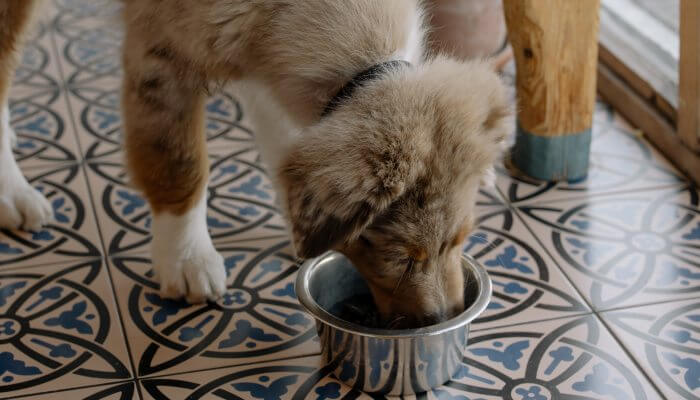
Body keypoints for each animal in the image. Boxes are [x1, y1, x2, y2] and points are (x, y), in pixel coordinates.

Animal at [1, 0, 516, 328]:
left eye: (462, 240)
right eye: (403, 258)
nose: (445, 318)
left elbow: (284, 140)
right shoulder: (163, 50)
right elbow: (180, 162)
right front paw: (186, 258)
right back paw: (13, 193)